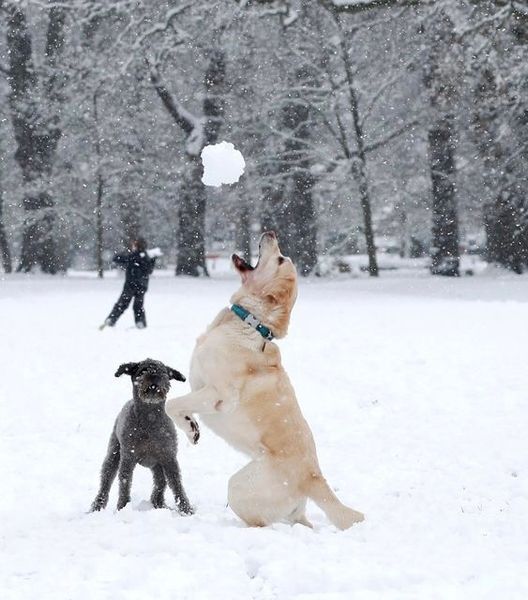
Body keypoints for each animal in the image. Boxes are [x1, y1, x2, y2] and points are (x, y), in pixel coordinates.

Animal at [91, 358, 198, 512]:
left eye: (163, 372)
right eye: (142, 370)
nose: (154, 376)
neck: (149, 419)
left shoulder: (169, 458)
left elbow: (176, 484)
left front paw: (186, 509)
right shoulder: (128, 458)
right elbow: (125, 483)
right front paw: (123, 507)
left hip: (157, 465)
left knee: (161, 482)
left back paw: (159, 504)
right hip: (114, 454)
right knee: (106, 481)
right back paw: (97, 506)